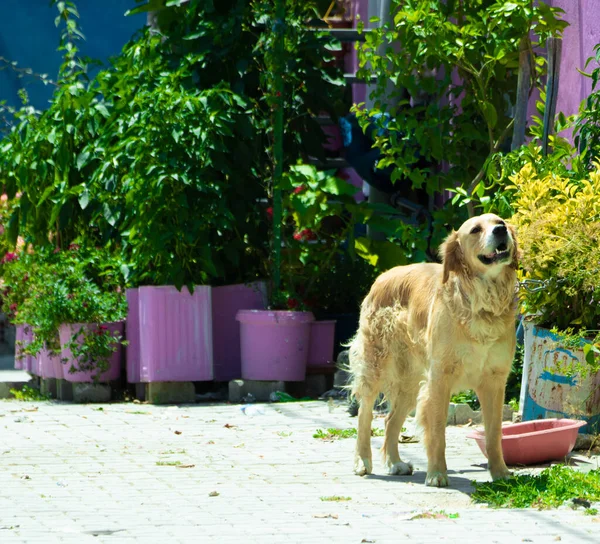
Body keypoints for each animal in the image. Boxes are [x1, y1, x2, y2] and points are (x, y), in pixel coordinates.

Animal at [350, 215, 516, 486]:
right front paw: (437, 473)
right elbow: (438, 430)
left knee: (390, 420)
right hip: (376, 366)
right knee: (365, 416)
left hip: (411, 381)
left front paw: (500, 473)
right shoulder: (440, 378)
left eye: (499, 221)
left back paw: (394, 462)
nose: (501, 230)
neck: (481, 300)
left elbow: (494, 433)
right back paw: (362, 461)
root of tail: (384, 274)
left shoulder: (494, 380)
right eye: (475, 229)